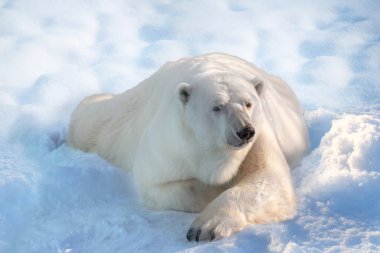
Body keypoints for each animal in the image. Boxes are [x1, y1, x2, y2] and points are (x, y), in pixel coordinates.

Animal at [67, 52, 308, 241]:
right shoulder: (170, 144)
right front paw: (216, 189)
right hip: (120, 118)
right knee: (92, 119)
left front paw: (206, 227)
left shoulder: (259, 139)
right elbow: (157, 185)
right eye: (217, 107)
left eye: (248, 103)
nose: (245, 131)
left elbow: (268, 179)